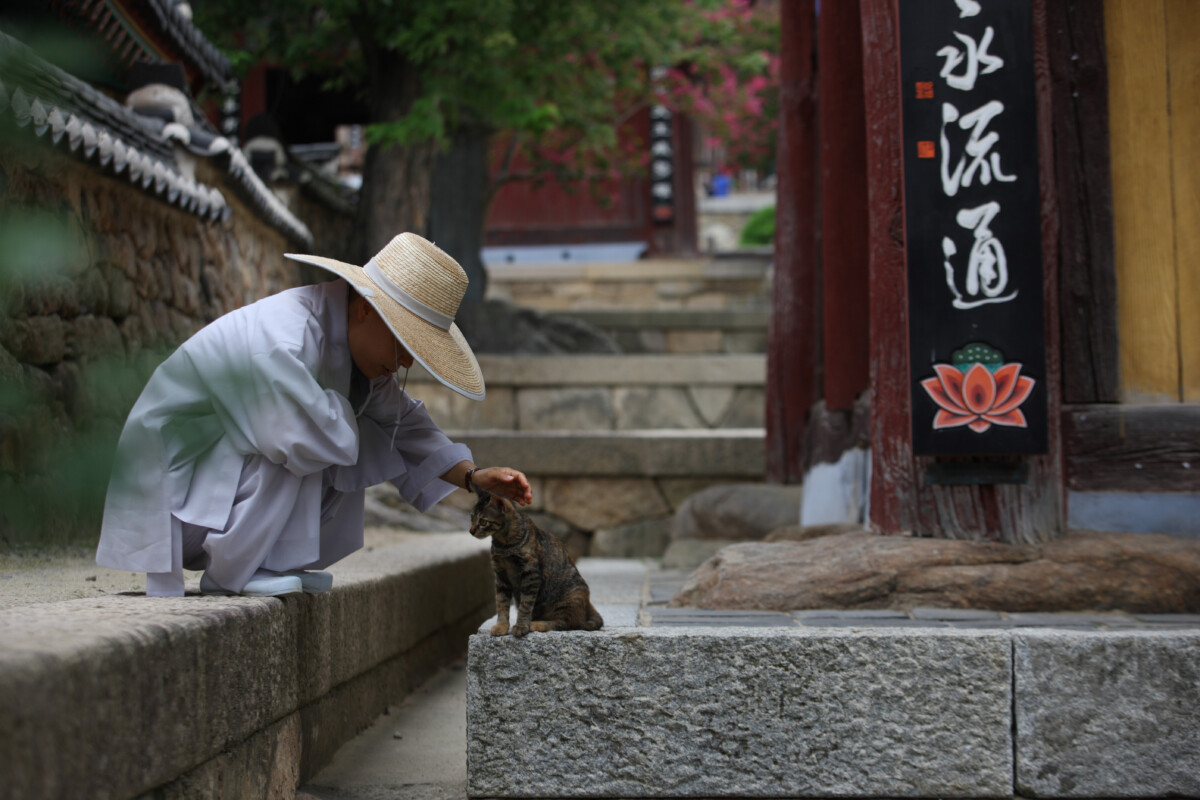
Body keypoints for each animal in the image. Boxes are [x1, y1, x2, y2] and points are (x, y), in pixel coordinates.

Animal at [465, 489, 600, 638]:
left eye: (483, 521)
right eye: (471, 518)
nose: (471, 531)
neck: (503, 544)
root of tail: (588, 606)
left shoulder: (531, 575)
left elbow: (525, 605)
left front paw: (521, 626)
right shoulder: (501, 577)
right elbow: (501, 603)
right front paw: (502, 626)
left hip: (569, 598)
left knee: (564, 623)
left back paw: (536, 624)